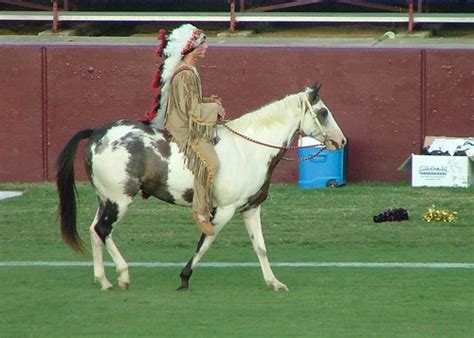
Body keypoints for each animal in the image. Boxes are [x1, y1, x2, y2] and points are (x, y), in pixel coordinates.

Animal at [56, 83, 344, 292]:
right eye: (323, 112)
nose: (341, 141)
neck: (249, 150)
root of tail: (97, 133)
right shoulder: (225, 210)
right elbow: (205, 243)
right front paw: (184, 278)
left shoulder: (251, 209)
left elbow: (260, 247)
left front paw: (274, 282)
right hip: (119, 199)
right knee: (103, 230)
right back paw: (123, 276)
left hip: (105, 199)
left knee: (94, 231)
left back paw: (103, 281)